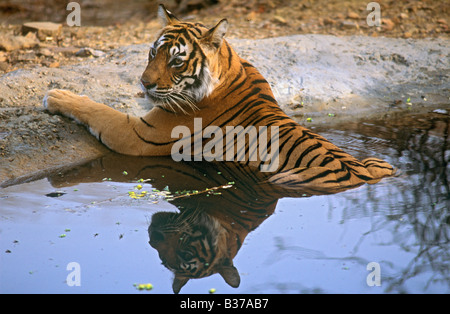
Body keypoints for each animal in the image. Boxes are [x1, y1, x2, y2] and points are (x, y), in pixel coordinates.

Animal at [42, 4, 394, 194]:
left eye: (176, 61)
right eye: (153, 53)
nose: (144, 83)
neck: (230, 65)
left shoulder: (138, 134)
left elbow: (99, 110)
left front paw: (56, 94)